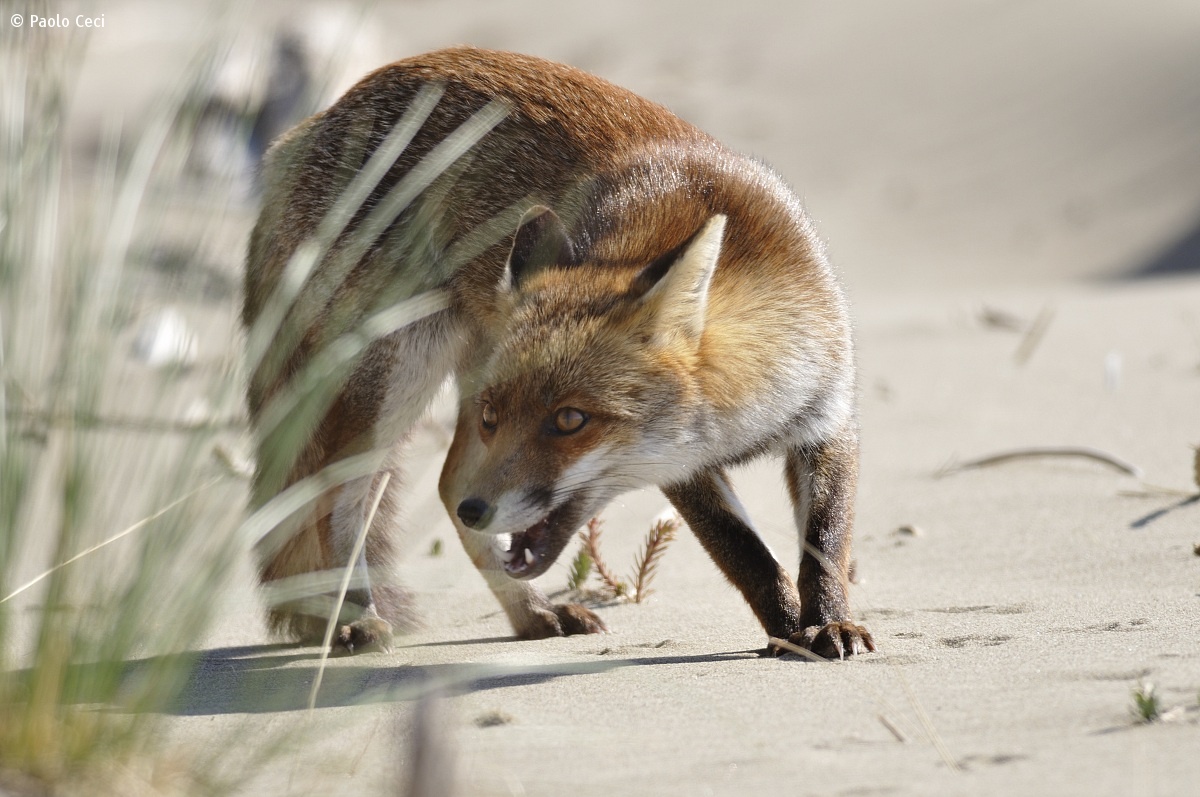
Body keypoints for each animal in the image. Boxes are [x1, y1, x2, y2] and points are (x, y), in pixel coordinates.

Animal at [243, 46, 878, 662]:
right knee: (340, 497)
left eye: (570, 420)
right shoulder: (686, 466)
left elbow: (824, 545)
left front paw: (828, 622)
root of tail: (310, 125)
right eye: (509, 418)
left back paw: (530, 613)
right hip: (401, 373)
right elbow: (747, 556)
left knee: (448, 485)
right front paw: (788, 630)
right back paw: (356, 619)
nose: (480, 510)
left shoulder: (827, 419)